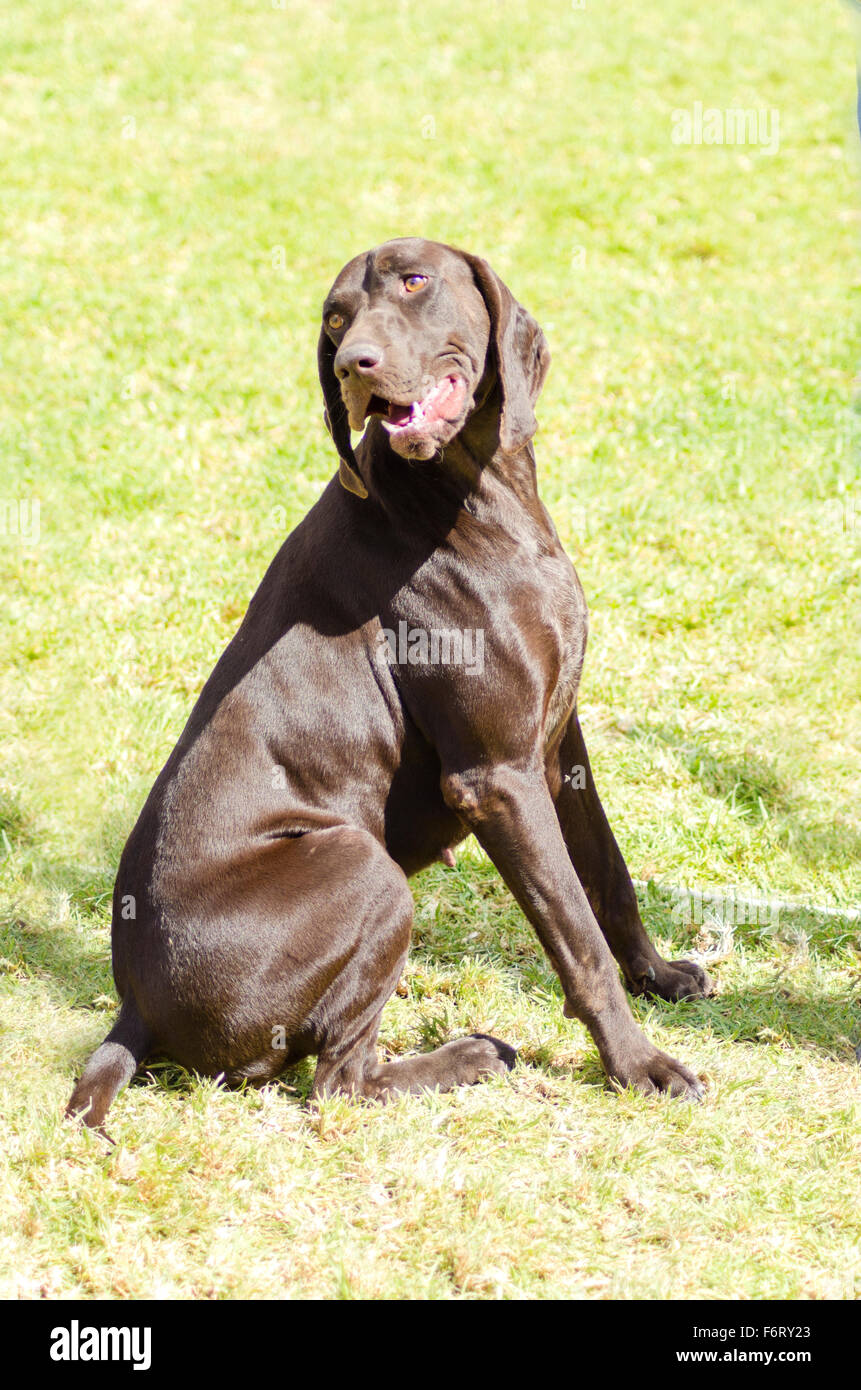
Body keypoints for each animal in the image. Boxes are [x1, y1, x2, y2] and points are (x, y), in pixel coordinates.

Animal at [67, 239, 712, 1128]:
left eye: (414, 282)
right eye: (335, 320)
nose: (354, 366)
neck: (476, 496)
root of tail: (132, 1006)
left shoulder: (557, 742)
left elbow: (608, 878)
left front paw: (658, 976)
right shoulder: (496, 777)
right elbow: (574, 937)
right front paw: (635, 1063)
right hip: (360, 864)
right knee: (339, 1083)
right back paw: (468, 1057)